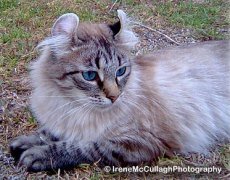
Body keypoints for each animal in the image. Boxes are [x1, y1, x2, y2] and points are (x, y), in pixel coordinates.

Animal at [10, 9, 230, 172]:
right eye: (89, 75)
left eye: (121, 71)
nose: (114, 97)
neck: (71, 104)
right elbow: (48, 133)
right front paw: (24, 144)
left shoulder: (140, 141)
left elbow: (84, 146)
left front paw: (39, 154)